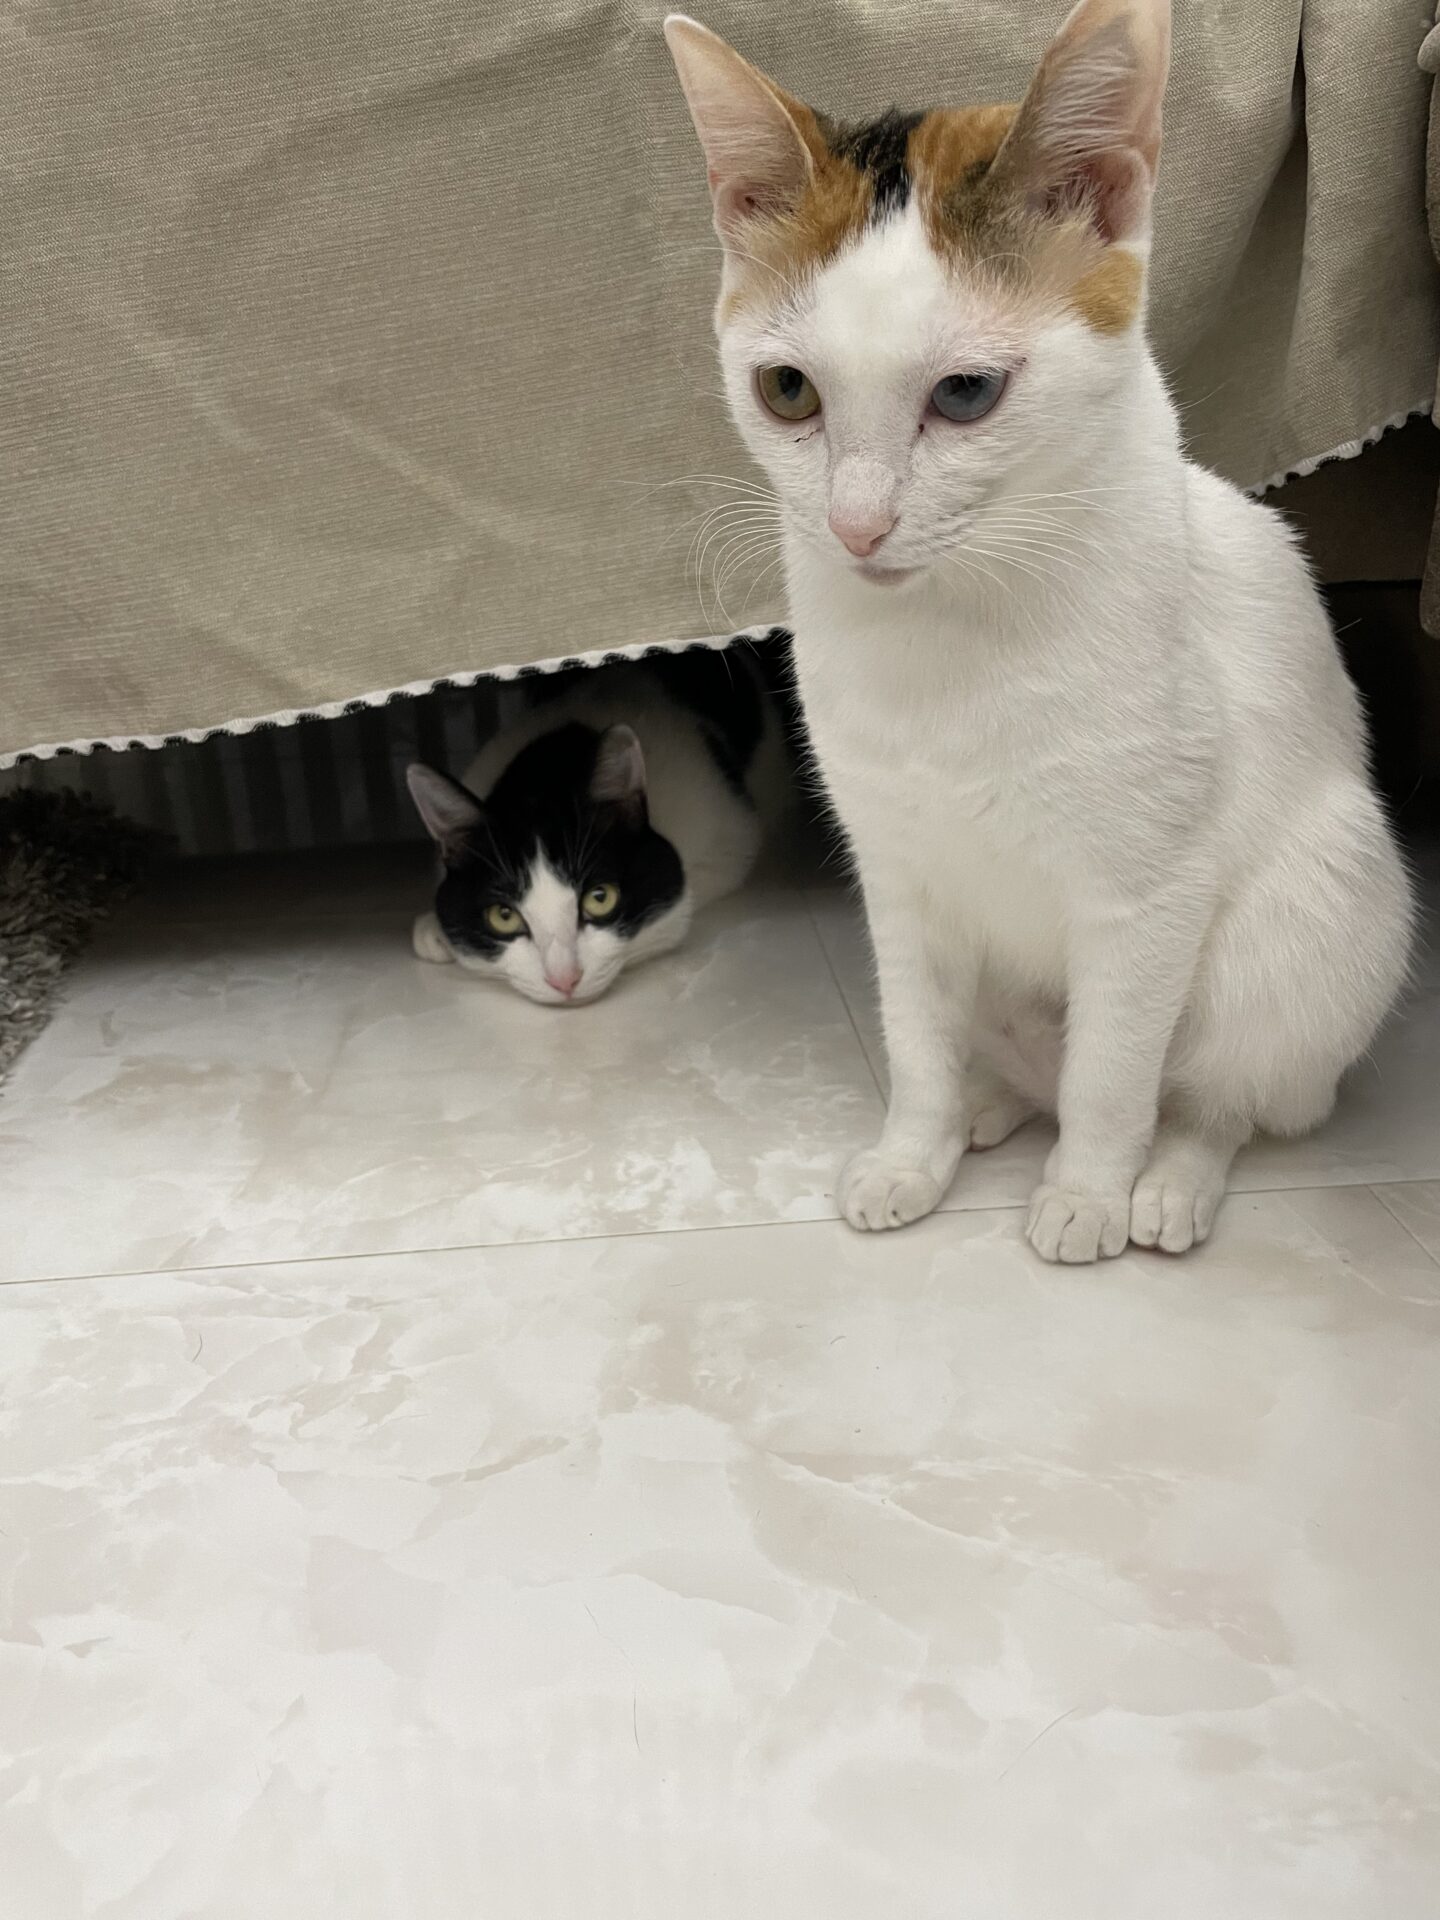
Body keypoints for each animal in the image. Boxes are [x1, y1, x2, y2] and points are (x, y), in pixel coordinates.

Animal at [406, 650, 784, 1006]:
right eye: (504, 916)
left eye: (600, 898)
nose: (564, 980)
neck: (550, 768)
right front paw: (435, 929)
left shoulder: (729, 833)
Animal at [665, 0, 1413, 1260]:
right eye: (788, 391)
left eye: (967, 394)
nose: (855, 526)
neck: (951, 637)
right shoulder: (896, 874)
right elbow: (916, 1044)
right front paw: (912, 1150)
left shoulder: (1146, 893)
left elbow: (1112, 1075)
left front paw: (1089, 1192)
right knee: (1014, 1063)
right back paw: (981, 1111)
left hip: (1317, 915)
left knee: (1217, 1097)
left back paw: (1166, 1181)